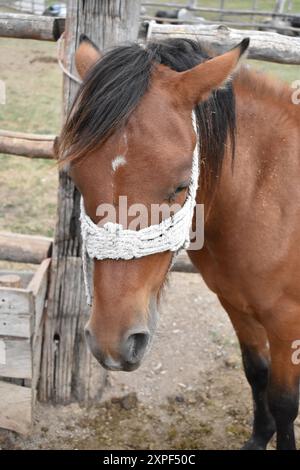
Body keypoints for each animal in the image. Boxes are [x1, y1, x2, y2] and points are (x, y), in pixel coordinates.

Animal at [59, 35, 300, 450]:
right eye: (76, 179)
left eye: (180, 186)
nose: (112, 342)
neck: (269, 194)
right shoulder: (236, 305)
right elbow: (256, 373)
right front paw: (258, 438)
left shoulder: (287, 322)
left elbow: (284, 402)